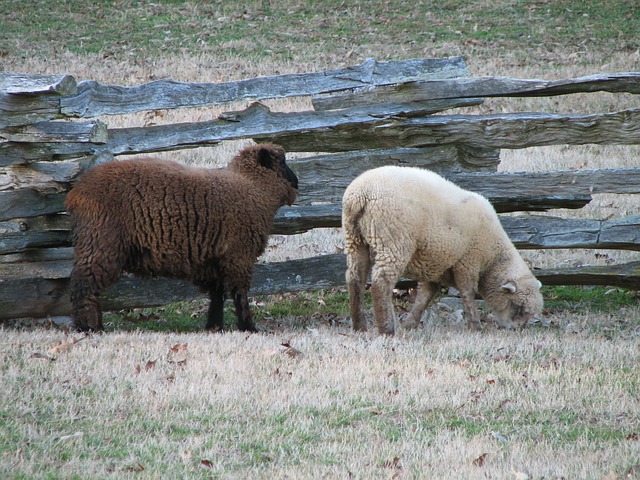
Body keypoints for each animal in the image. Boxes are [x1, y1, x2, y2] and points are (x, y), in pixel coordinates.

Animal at [63, 142, 298, 332]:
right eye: (283, 162)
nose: (297, 182)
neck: (252, 187)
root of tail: (75, 193)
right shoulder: (238, 256)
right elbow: (240, 295)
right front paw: (248, 328)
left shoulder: (213, 260)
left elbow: (217, 295)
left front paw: (214, 327)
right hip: (100, 241)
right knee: (83, 285)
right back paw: (90, 327)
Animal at [342, 167, 544, 336]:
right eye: (518, 307)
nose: (516, 330)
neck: (492, 258)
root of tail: (360, 194)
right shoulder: (468, 261)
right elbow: (468, 293)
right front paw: (475, 327)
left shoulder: (435, 267)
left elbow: (425, 297)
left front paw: (410, 324)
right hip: (393, 240)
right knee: (381, 283)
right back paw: (387, 330)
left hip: (355, 239)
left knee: (355, 279)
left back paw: (359, 327)